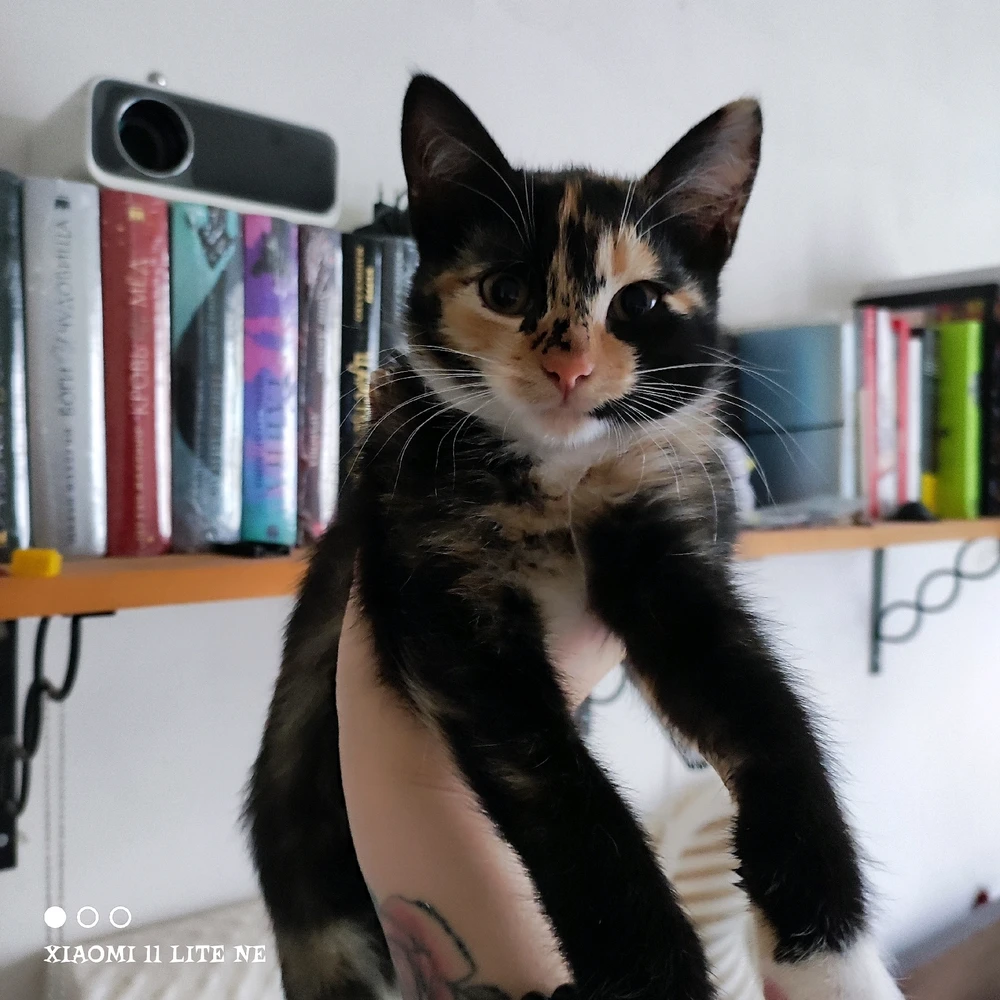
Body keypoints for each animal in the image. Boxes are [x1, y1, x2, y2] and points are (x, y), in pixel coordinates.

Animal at [246, 74, 903, 1000]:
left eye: (641, 302)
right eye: (506, 291)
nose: (569, 367)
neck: (560, 475)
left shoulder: (665, 534)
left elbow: (768, 712)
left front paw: (830, 954)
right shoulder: (436, 576)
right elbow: (555, 787)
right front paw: (658, 975)